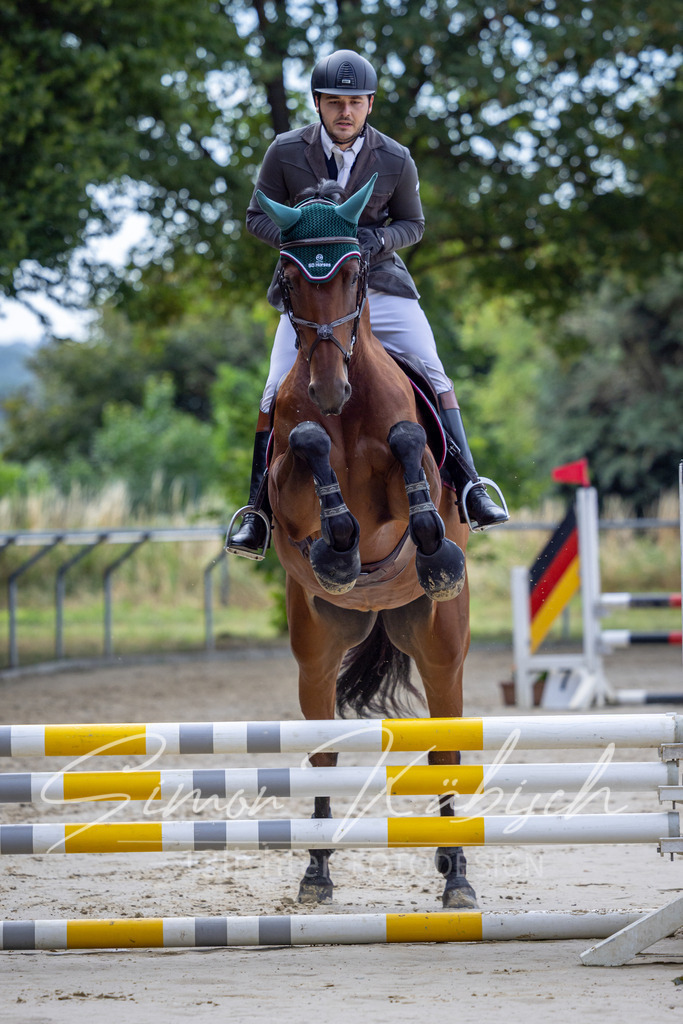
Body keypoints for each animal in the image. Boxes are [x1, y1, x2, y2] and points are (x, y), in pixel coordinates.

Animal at [252, 175, 476, 909]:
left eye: (353, 272)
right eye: (291, 278)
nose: (327, 388)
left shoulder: (408, 476)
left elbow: (408, 446)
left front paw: (435, 551)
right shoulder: (290, 482)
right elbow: (305, 444)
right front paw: (337, 551)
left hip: (441, 650)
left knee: (445, 752)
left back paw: (456, 875)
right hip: (317, 649)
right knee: (322, 755)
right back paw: (317, 872)